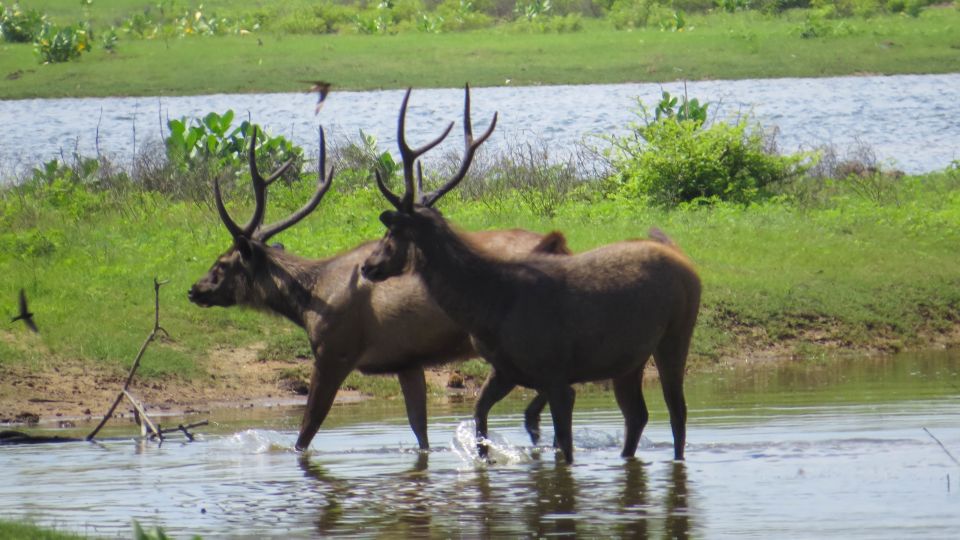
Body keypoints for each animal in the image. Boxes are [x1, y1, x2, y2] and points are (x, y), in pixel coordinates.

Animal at [186, 126, 568, 452]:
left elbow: (307, 431)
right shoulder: (406, 361)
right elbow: (420, 432)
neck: (310, 302)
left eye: (223, 263)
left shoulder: (334, 353)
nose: (194, 289)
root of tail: (558, 246)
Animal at [364, 86, 700, 462]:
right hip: (630, 359)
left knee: (677, 412)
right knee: (637, 415)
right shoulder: (506, 370)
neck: (488, 309)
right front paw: (484, 458)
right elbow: (480, 415)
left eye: (392, 232)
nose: (368, 265)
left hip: (677, 331)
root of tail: (684, 258)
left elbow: (564, 447)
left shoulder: (555, 373)